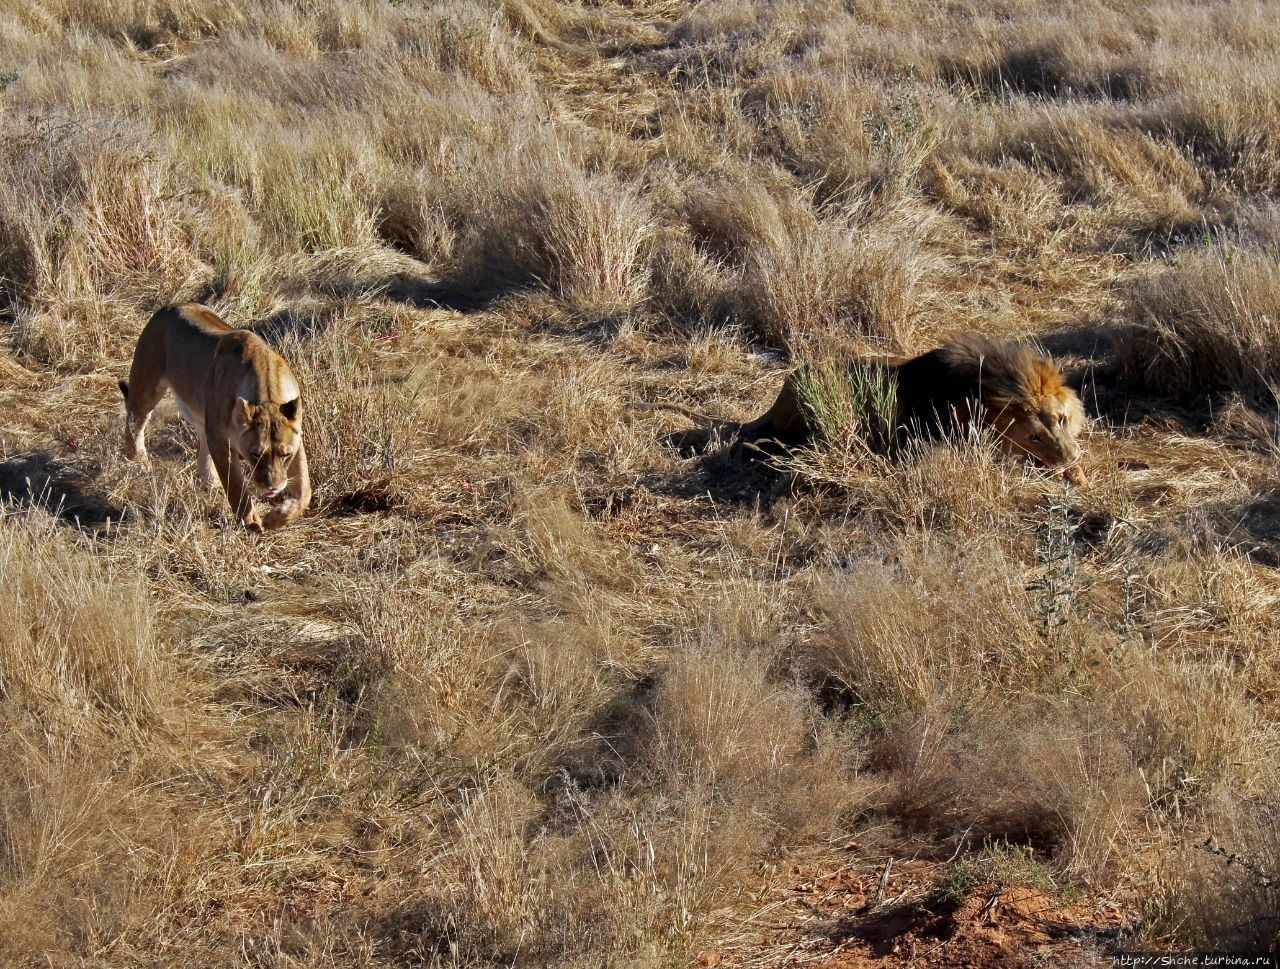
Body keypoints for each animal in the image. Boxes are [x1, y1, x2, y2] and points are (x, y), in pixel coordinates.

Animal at [119, 302, 313, 529]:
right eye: (256, 454)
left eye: (285, 455)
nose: (272, 488)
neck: (267, 395)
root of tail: (172, 305)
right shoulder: (220, 437)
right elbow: (235, 485)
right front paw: (251, 522)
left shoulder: (296, 440)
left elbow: (305, 489)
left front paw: (278, 517)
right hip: (147, 388)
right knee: (133, 423)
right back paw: (140, 462)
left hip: (201, 414)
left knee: (201, 443)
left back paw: (210, 483)